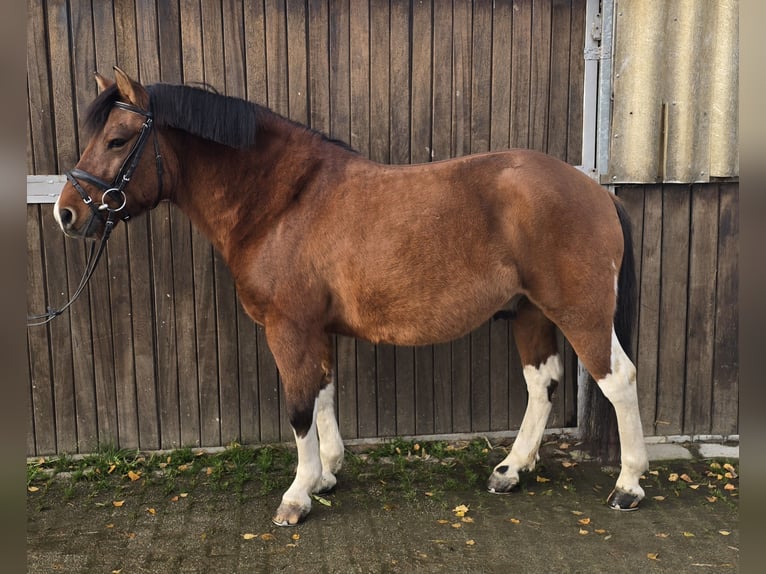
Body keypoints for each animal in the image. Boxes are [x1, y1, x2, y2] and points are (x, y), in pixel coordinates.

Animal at [54, 67, 652, 528]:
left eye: (116, 140)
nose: (67, 212)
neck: (285, 202)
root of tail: (593, 189)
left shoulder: (288, 328)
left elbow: (299, 407)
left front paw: (297, 495)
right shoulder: (313, 330)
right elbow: (322, 395)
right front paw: (325, 474)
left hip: (580, 311)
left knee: (618, 379)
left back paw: (628, 485)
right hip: (530, 312)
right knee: (542, 383)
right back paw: (511, 470)